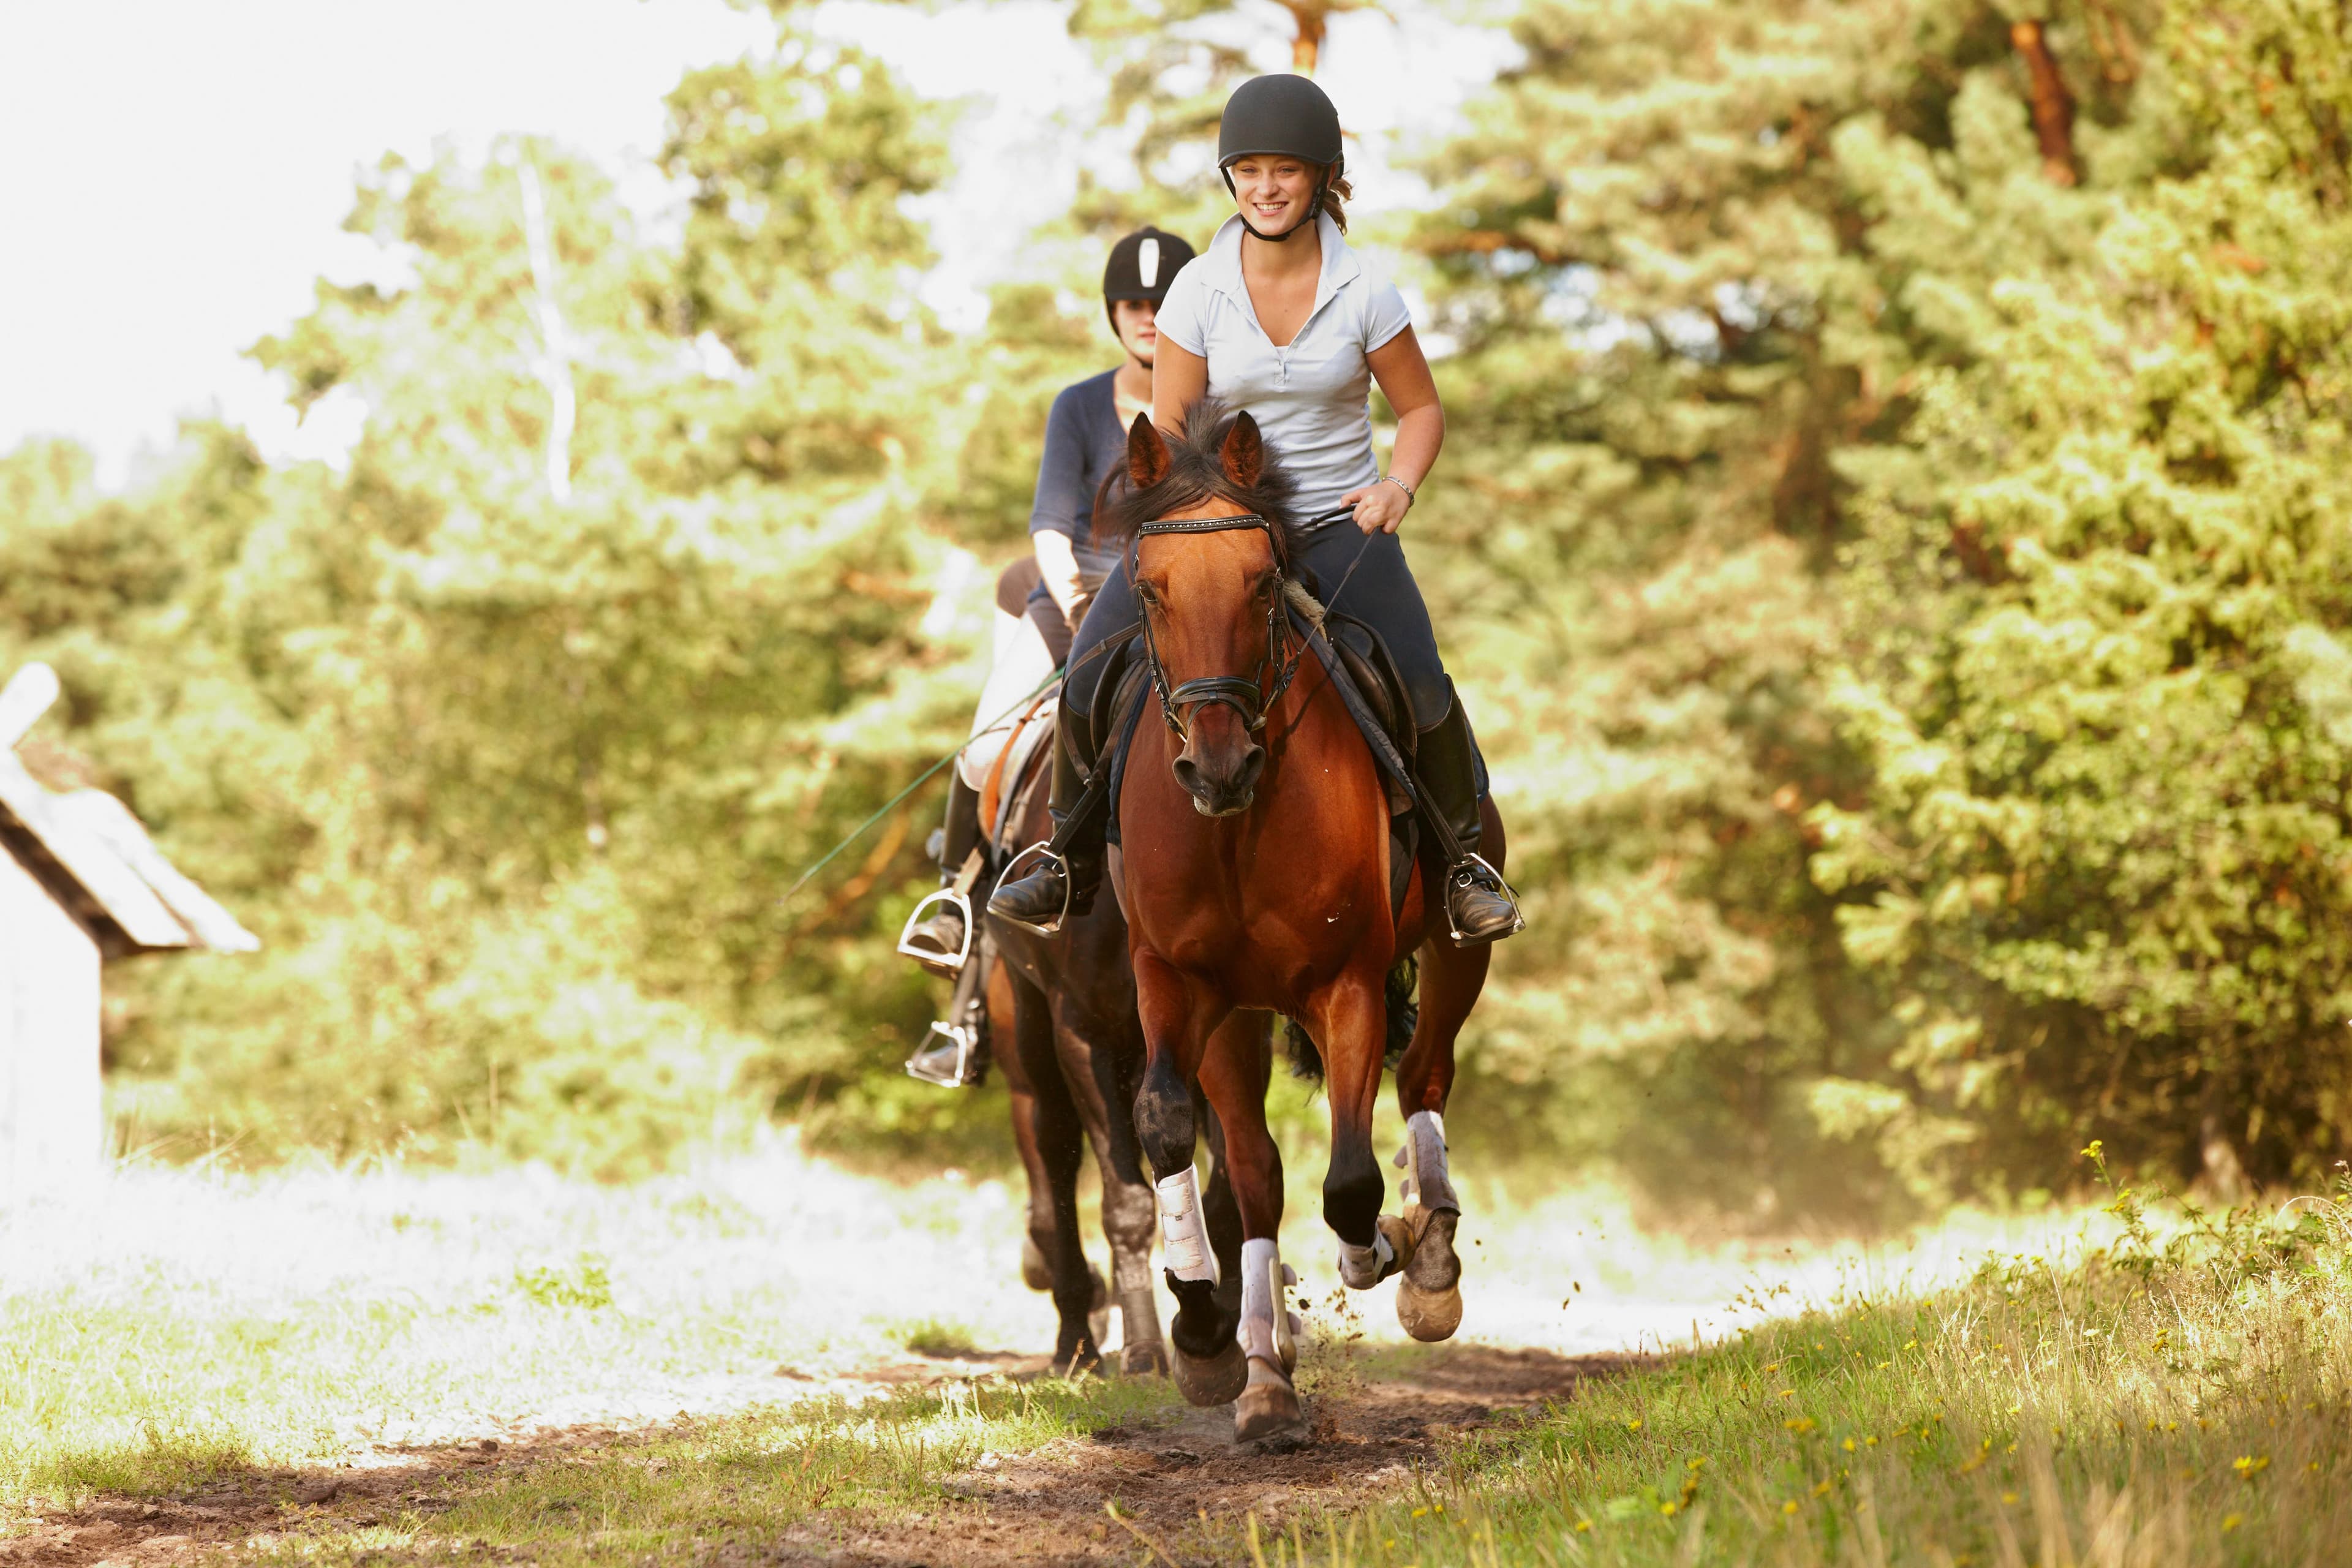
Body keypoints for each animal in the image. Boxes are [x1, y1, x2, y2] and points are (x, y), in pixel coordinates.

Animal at [1105, 404, 1505, 1448]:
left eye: (1258, 582)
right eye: (1149, 590)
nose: (1217, 765)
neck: (1238, 824)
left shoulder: (1347, 985)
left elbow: (1354, 1182)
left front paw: (1386, 1250)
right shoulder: (1176, 982)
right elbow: (1171, 1127)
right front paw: (1205, 1336)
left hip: (1454, 956)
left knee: (1423, 1077)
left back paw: (1428, 1260)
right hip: (1235, 1018)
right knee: (1254, 1174)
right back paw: (1260, 1374)